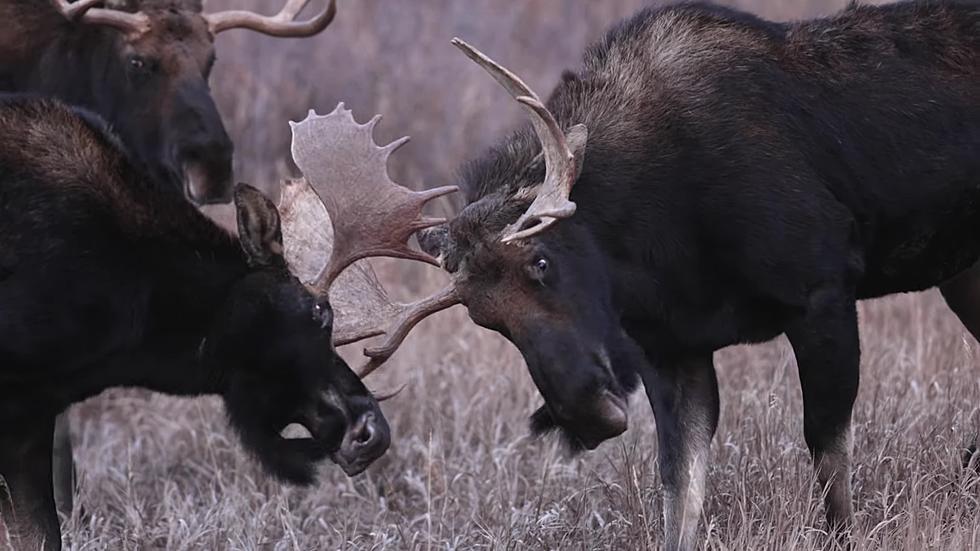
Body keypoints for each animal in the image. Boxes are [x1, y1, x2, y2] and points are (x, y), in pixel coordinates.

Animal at [296, 1, 980, 551]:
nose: (587, 415)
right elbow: (679, 494)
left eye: (542, 262)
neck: (659, 251)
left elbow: (829, 461)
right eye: (488, 321)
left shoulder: (824, 293)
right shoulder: (672, 350)